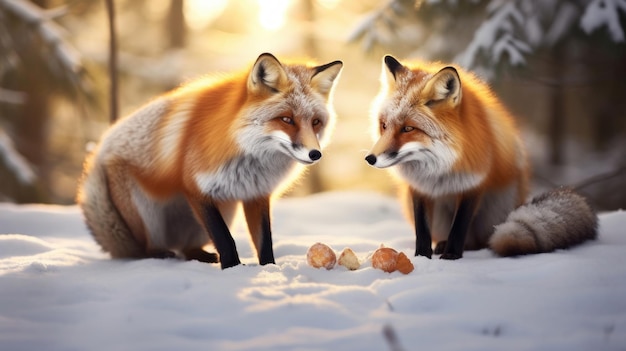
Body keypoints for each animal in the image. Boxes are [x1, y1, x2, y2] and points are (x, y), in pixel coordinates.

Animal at [77, 53, 344, 270]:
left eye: (316, 122)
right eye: (286, 119)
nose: (315, 154)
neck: (250, 156)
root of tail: (104, 145)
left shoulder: (256, 193)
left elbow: (264, 241)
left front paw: (269, 269)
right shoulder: (197, 189)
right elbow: (225, 239)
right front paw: (232, 268)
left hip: (222, 210)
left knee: (186, 250)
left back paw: (200, 256)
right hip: (148, 215)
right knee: (143, 249)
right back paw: (156, 255)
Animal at [364, 55, 596, 262]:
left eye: (408, 129)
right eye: (384, 125)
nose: (370, 159)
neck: (438, 169)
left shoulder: (473, 184)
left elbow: (460, 226)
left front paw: (451, 256)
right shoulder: (419, 189)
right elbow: (422, 230)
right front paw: (422, 257)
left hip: (496, 210)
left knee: (478, 240)